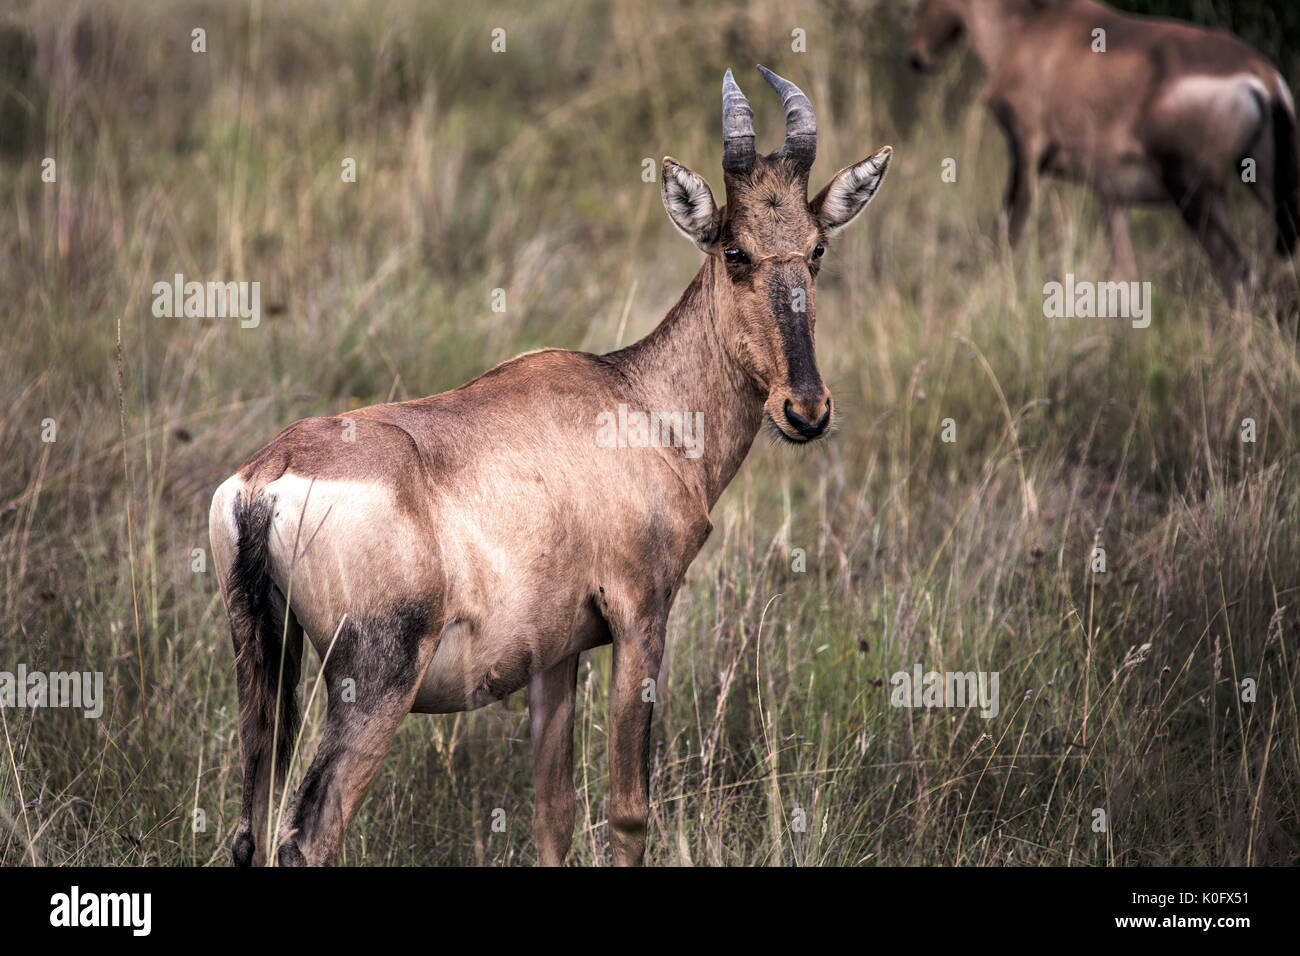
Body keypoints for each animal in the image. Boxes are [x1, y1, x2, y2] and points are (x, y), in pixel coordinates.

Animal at [208, 63, 889, 863]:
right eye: (734, 251)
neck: (636, 399)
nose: (806, 410)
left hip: (260, 666)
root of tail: (266, 480)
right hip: (373, 681)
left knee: (250, 830)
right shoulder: (639, 616)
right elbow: (628, 809)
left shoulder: (556, 652)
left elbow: (554, 809)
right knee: (305, 835)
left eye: (816, 250)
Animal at [904, 0, 1300, 297]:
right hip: (1262, 187)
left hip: (1195, 194)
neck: (1032, 28)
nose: (918, 57)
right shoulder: (1111, 193)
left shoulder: (1025, 152)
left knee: (1240, 275)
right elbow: (1122, 274)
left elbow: (1006, 237)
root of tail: (1263, 77)